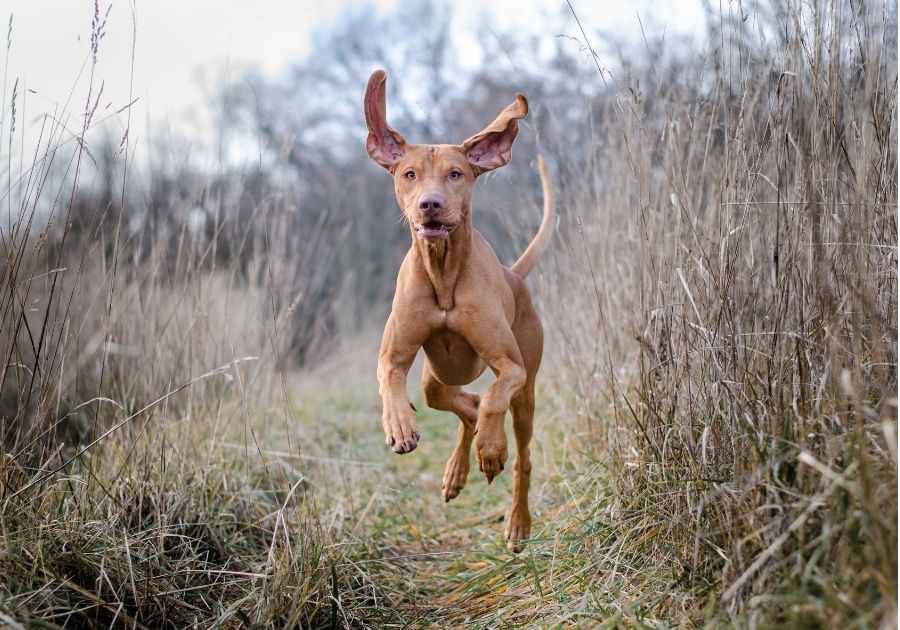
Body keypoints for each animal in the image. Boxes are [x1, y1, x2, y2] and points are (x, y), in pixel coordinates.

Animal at [362, 70, 552, 552]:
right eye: (409, 174)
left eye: (456, 174)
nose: (429, 204)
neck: (443, 272)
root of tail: (514, 275)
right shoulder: (393, 356)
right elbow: (391, 380)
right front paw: (400, 426)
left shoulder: (512, 368)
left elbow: (495, 396)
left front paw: (492, 449)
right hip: (436, 379)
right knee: (463, 403)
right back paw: (456, 471)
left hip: (527, 394)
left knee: (518, 448)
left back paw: (515, 516)